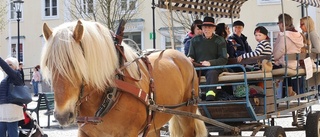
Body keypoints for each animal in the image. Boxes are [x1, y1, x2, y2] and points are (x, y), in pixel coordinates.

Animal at [40, 19, 208, 137]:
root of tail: (184, 57)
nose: (61, 116)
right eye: (48, 64)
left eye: (76, 64)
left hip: (187, 112)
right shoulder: (85, 132)